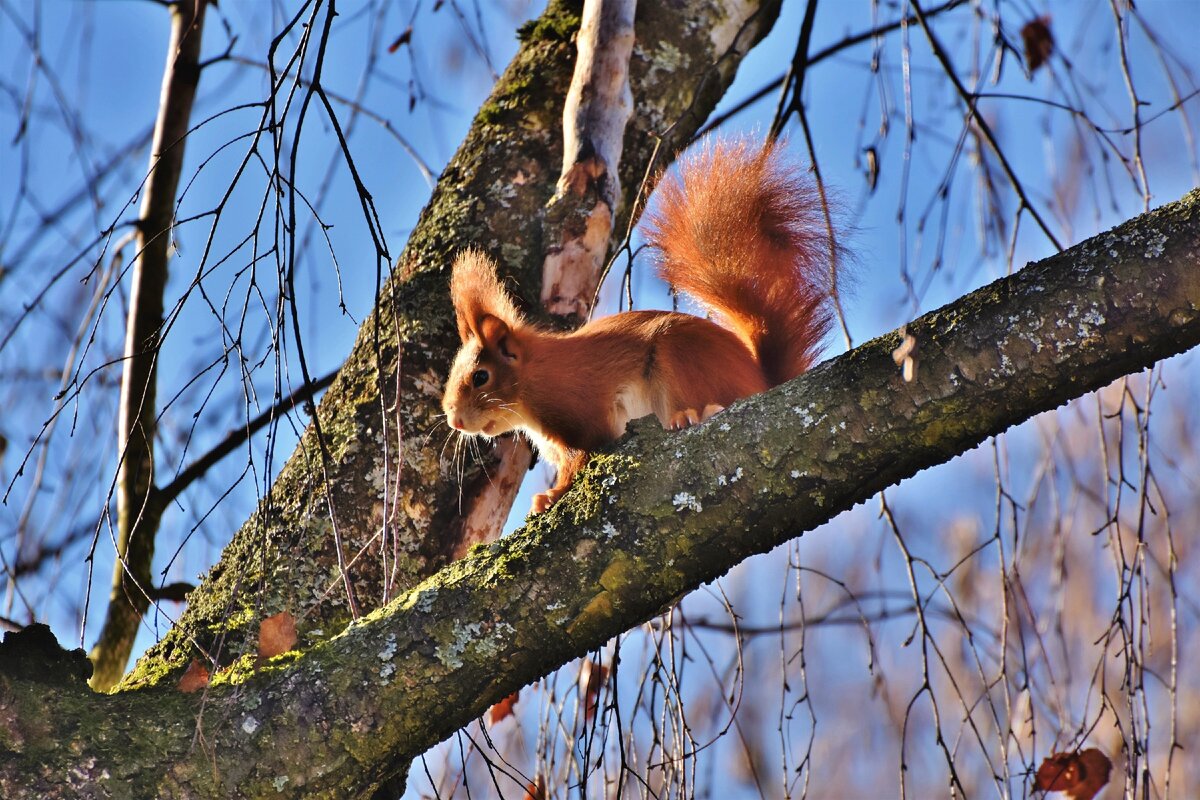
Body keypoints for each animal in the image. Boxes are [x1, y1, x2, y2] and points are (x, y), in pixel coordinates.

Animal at [444, 137, 835, 513]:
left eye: (481, 376)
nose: (454, 421)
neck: (534, 379)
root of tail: (763, 380)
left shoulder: (582, 410)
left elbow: (579, 458)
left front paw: (551, 495)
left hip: (679, 358)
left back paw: (695, 414)